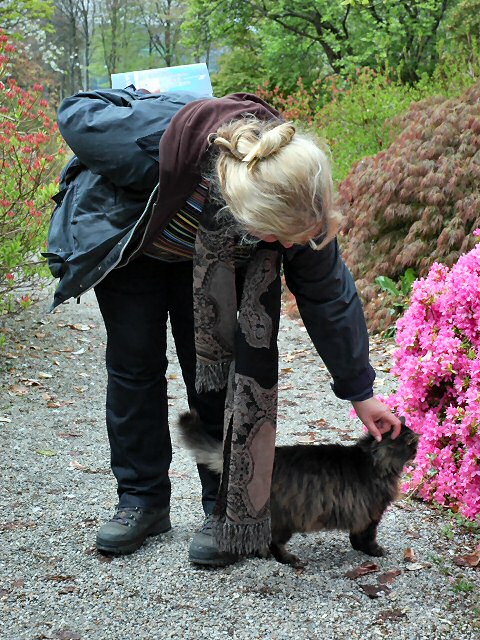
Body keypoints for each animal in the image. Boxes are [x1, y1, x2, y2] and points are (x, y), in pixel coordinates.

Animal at [178, 411, 418, 567]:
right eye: (411, 445)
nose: (417, 451)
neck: (373, 460)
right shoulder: (371, 513)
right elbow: (366, 536)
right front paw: (374, 551)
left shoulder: (358, 511)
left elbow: (356, 535)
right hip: (287, 519)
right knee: (273, 542)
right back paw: (290, 560)